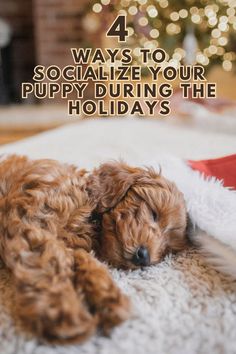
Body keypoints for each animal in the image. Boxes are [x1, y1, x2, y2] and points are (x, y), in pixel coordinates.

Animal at [0, 155, 188, 342]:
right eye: (154, 214)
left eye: (166, 250)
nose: (144, 257)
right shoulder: (34, 220)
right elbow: (49, 262)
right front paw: (63, 308)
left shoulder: (72, 245)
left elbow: (84, 260)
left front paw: (108, 296)